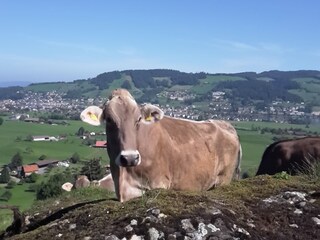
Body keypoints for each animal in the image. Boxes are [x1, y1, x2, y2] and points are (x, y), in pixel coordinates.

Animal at [81, 89, 241, 202]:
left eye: (138, 119)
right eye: (109, 120)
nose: (130, 158)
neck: (124, 178)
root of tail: (224, 124)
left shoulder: (159, 183)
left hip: (224, 178)